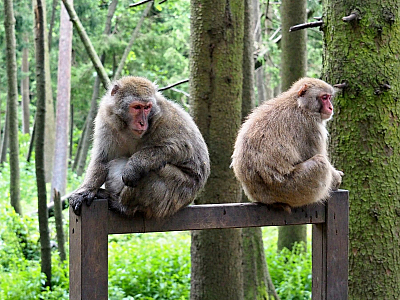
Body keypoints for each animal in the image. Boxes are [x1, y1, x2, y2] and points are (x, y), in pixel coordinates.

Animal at [70, 76, 211, 219]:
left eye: (147, 107)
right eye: (137, 107)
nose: (142, 123)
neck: (128, 129)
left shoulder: (165, 119)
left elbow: (180, 148)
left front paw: (133, 167)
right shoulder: (106, 119)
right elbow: (102, 159)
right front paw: (85, 191)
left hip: (178, 194)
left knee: (153, 170)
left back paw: (122, 205)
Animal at [231, 77, 344, 209]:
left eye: (329, 97)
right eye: (324, 97)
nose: (331, 107)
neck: (300, 105)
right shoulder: (311, 127)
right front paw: (336, 179)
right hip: (291, 189)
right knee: (321, 162)